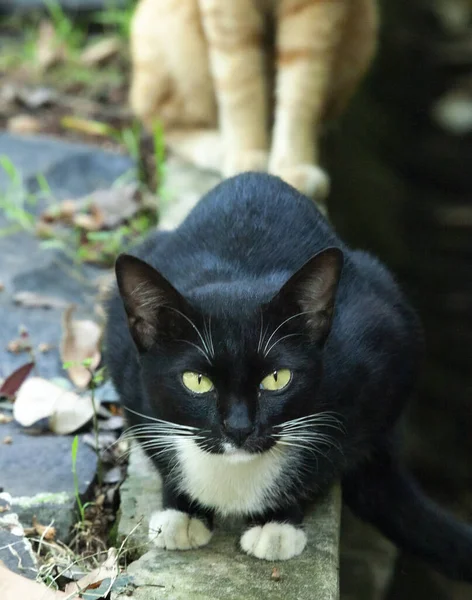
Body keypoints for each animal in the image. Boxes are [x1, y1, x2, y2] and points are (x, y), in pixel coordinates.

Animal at [106, 172, 472, 576]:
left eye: (277, 379)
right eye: (196, 381)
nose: (239, 428)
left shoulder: (380, 357)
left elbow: (333, 453)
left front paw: (276, 521)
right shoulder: (126, 370)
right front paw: (182, 510)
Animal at [128, 0, 376, 202]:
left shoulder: (317, 9)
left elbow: (301, 88)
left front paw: (293, 165)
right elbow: (239, 78)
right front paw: (246, 157)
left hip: (364, 24)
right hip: (170, 23)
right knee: (158, 118)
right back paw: (220, 149)